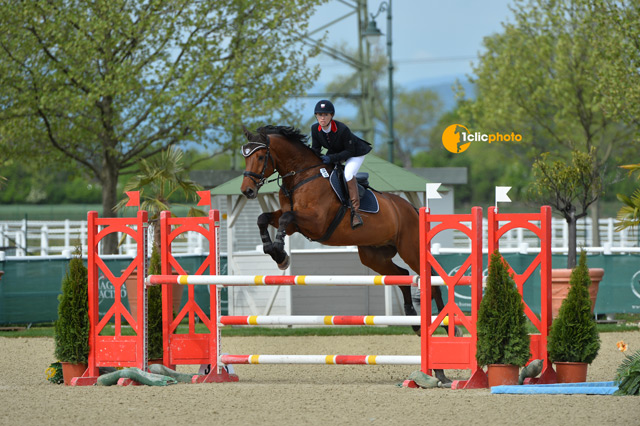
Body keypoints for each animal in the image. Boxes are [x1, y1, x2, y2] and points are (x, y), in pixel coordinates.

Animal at [240, 125, 451, 382]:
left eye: (261, 156)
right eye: (245, 156)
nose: (247, 190)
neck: (300, 177)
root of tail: (411, 208)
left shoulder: (315, 222)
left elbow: (286, 218)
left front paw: (280, 253)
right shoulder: (294, 223)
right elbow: (265, 219)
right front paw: (276, 253)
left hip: (410, 249)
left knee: (431, 280)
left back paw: (445, 337)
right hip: (373, 255)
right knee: (401, 274)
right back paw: (413, 321)